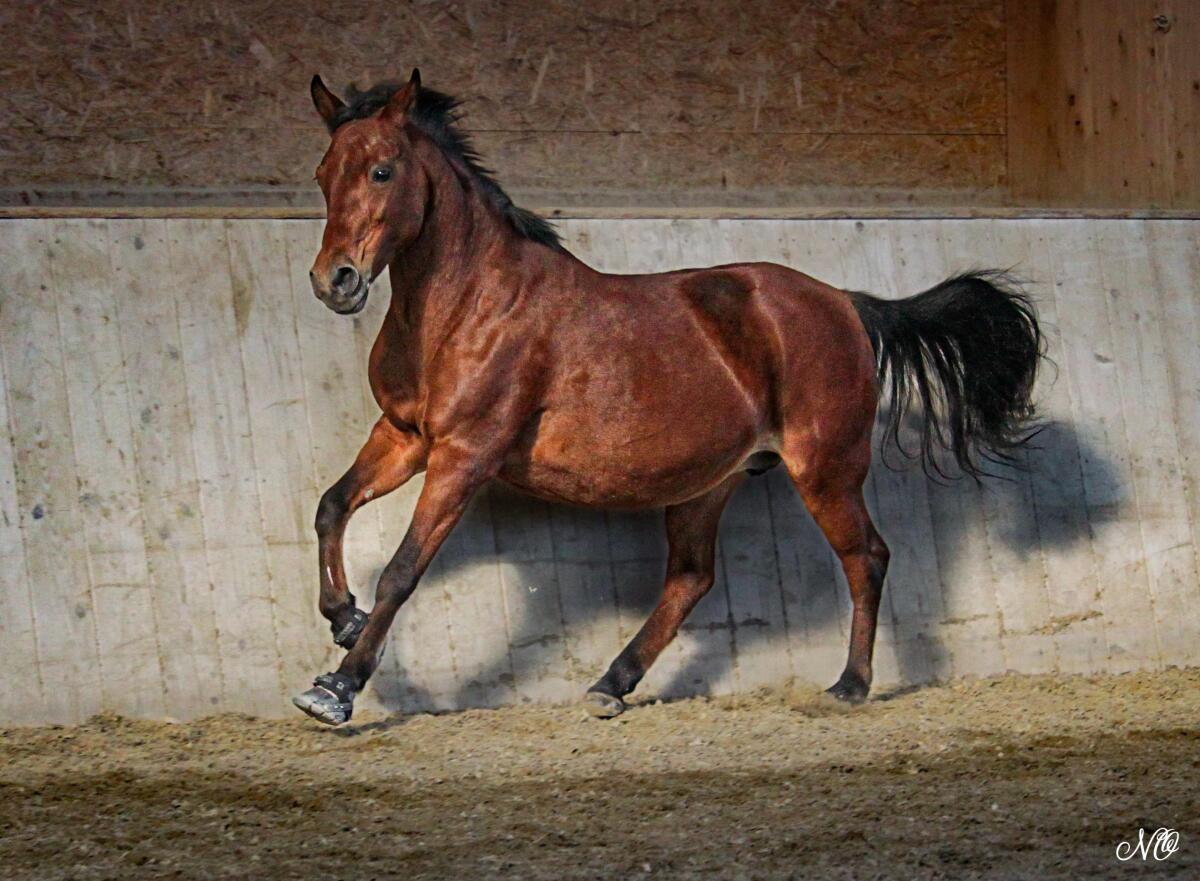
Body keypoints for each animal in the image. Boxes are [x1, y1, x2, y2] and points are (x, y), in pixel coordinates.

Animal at [292, 70, 1043, 726]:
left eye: (382, 171)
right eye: (323, 173)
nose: (335, 281)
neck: (468, 304)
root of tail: (847, 304)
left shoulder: (465, 454)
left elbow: (402, 570)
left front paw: (336, 687)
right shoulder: (404, 434)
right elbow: (331, 506)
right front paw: (342, 616)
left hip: (825, 468)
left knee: (867, 557)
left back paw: (849, 686)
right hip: (710, 481)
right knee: (690, 579)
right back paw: (609, 685)